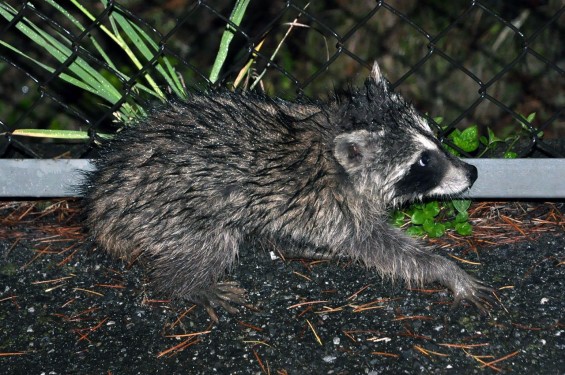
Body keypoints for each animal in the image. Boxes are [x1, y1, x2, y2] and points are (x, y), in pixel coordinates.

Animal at [81, 61, 492, 320]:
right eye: (423, 161)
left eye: (433, 139)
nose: (472, 172)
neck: (330, 140)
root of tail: (101, 202)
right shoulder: (333, 205)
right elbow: (383, 248)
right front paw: (444, 270)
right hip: (169, 206)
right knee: (211, 240)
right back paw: (189, 284)